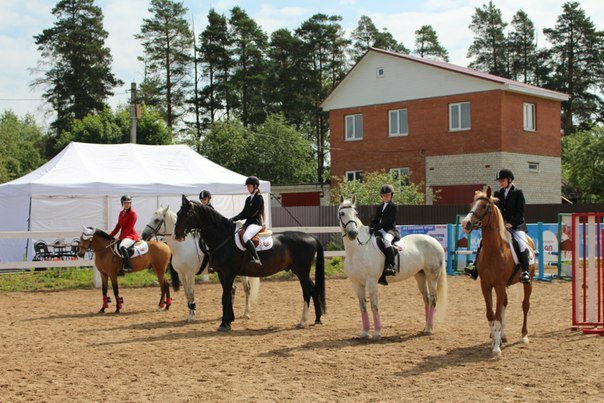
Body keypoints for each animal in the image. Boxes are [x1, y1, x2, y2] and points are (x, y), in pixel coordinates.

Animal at [173, 196, 326, 332]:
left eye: (188, 213)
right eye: (178, 213)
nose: (177, 235)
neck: (223, 237)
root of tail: (311, 237)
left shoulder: (228, 273)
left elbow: (225, 296)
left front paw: (224, 324)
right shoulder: (222, 273)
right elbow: (226, 296)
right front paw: (228, 321)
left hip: (302, 272)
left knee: (307, 292)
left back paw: (303, 321)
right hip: (300, 271)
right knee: (313, 289)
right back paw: (317, 319)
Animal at [338, 197, 446, 340]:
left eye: (355, 213)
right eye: (342, 213)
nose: (353, 233)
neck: (357, 249)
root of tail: (435, 241)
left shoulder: (371, 281)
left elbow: (374, 306)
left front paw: (377, 333)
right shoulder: (356, 283)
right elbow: (363, 307)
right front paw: (365, 333)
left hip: (432, 276)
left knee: (433, 299)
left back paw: (429, 329)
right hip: (420, 276)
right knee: (427, 299)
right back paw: (425, 327)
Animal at [460, 188, 536, 358]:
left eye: (484, 206)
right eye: (472, 204)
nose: (466, 224)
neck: (494, 250)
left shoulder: (499, 285)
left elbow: (497, 315)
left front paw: (496, 348)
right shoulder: (486, 285)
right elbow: (491, 314)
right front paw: (495, 340)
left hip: (528, 282)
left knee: (525, 305)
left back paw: (524, 335)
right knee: (504, 305)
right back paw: (503, 335)